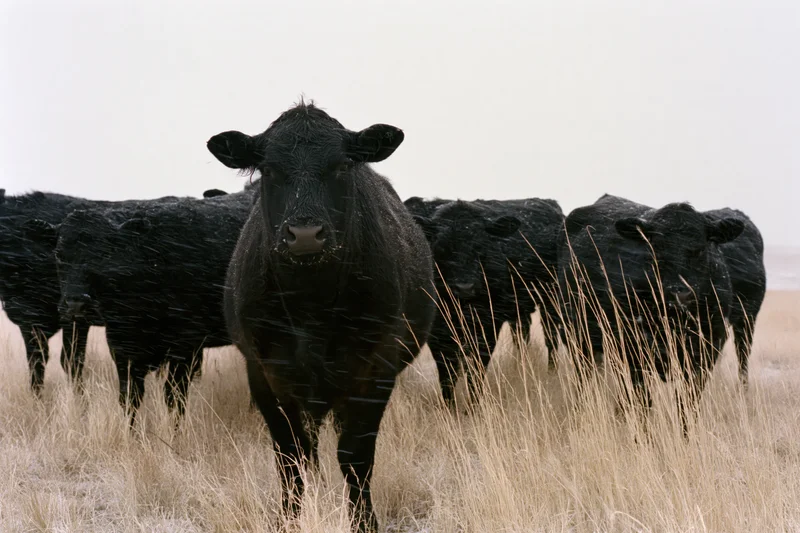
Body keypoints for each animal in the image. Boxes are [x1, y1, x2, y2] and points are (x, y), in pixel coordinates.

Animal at [27, 185, 255, 424]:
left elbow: (174, 400)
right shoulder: (123, 350)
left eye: (104, 255)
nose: (76, 304)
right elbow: (129, 399)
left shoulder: (186, 348)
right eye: (59, 255)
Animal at [207, 101, 435, 532]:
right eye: (269, 169)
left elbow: (356, 458)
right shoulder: (263, 372)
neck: (311, 306)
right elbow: (290, 457)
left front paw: (364, 522)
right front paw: (288, 519)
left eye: (342, 166)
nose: (305, 235)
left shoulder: (376, 370)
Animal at [405, 196, 564, 406]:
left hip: (550, 298)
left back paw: (552, 374)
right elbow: (447, 371)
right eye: (442, 247)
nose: (465, 287)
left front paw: (473, 406)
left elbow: (477, 368)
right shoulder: (437, 329)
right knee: (521, 336)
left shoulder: (488, 325)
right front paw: (449, 406)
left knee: (550, 337)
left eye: (480, 246)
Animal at [557, 193, 745, 433]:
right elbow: (643, 406)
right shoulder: (635, 353)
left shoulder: (704, 355)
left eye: (700, 249)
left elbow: (687, 407)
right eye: (655, 248)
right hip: (580, 339)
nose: (677, 292)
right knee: (585, 380)